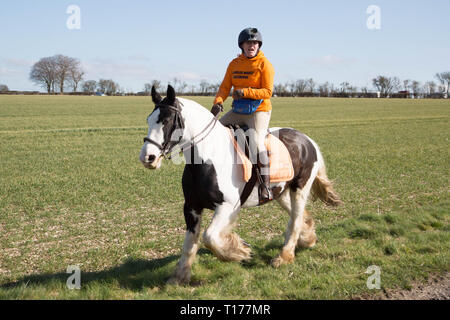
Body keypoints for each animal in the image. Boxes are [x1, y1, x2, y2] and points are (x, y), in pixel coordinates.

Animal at [139, 85, 342, 284]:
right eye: (149, 119)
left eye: (166, 120)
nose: (147, 157)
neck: (207, 158)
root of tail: (308, 140)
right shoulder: (191, 207)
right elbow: (190, 244)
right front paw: (179, 278)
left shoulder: (227, 206)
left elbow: (209, 237)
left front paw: (239, 251)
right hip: (282, 193)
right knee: (297, 216)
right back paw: (308, 239)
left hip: (300, 189)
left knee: (296, 220)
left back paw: (284, 257)